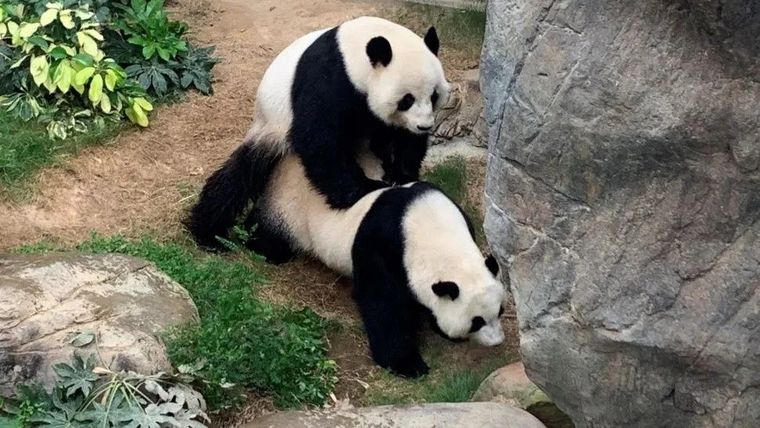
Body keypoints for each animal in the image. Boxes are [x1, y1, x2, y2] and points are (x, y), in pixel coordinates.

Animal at [185, 16, 450, 249]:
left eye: (434, 95)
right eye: (407, 99)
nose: (424, 126)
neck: (354, 54)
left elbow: (402, 138)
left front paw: (401, 174)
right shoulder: (329, 78)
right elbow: (318, 139)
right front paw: (363, 188)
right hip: (270, 127)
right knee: (238, 177)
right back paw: (209, 234)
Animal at [250, 153, 506, 378]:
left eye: (500, 311)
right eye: (476, 322)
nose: (497, 342)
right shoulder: (381, 244)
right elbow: (382, 302)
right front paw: (408, 364)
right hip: (289, 208)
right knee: (270, 235)